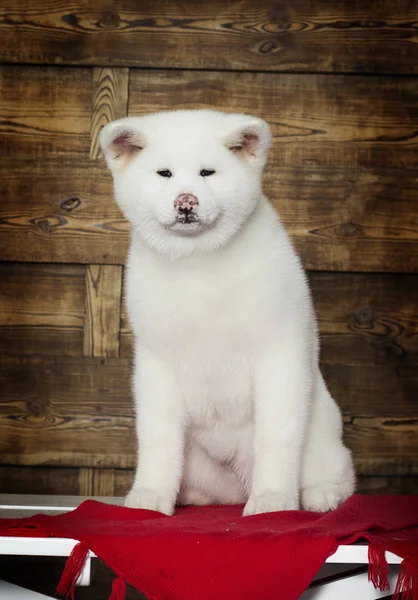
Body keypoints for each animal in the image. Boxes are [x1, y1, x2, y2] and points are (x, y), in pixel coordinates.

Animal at [99, 109, 354, 516]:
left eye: (207, 173)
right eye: (164, 173)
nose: (186, 201)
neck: (199, 260)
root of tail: (237, 484)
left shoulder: (279, 352)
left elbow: (276, 434)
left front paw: (273, 500)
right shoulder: (157, 362)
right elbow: (157, 436)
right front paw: (150, 496)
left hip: (321, 432)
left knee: (337, 472)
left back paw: (319, 494)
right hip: (201, 464)